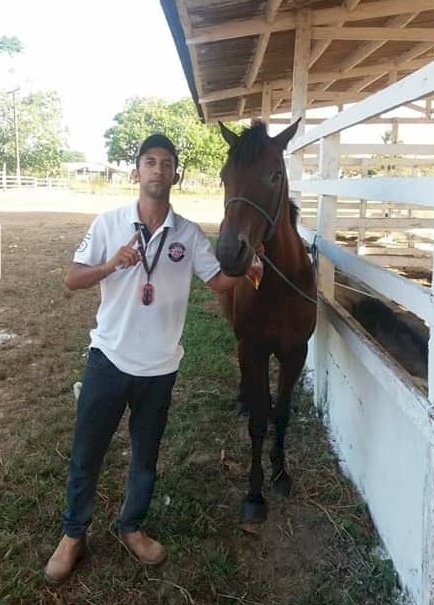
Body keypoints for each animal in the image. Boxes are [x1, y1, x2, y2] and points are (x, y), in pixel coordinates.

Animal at [216, 120, 316, 520]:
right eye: (225, 176)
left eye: (275, 175)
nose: (230, 252)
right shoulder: (253, 349)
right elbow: (258, 421)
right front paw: (255, 494)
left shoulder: (295, 353)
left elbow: (282, 413)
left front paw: (281, 473)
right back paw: (243, 397)